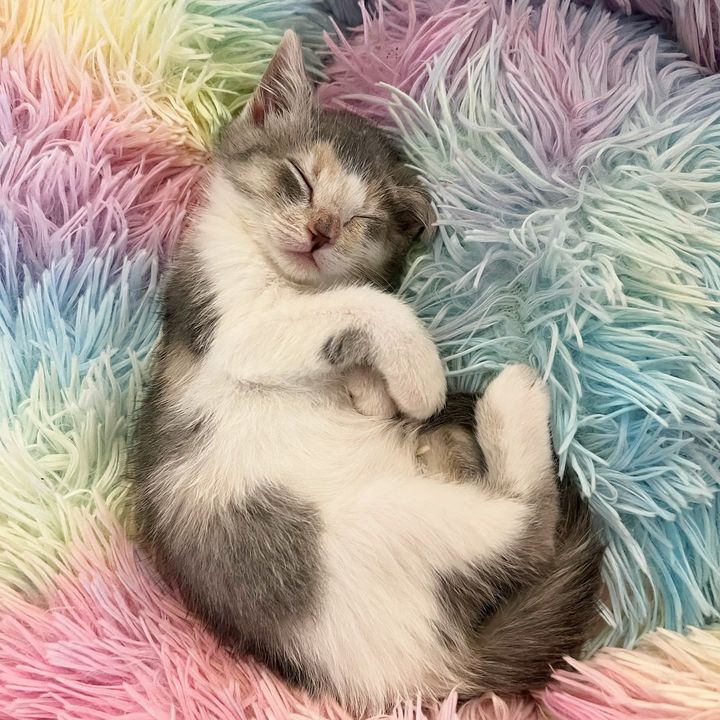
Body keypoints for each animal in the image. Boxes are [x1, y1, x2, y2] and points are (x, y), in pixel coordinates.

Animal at [129, 29, 600, 716]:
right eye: (298, 178)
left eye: (362, 221)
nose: (320, 232)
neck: (281, 276)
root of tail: (433, 674)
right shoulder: (230, 326)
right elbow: (363, 304)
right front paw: (418, 377)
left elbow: (351, 316)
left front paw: (373, 389)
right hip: (378, 527)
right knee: (525, 531)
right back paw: (509, 400)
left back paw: (451, 442)